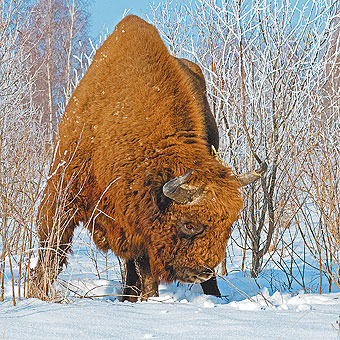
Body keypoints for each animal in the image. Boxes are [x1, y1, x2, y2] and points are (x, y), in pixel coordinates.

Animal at [29, 14, 266, 302]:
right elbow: (53, 247)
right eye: (188, 225)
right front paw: (37, 293)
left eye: (228, 226)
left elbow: (142, 266)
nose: (202, 272)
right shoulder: (64, 192)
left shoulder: (136, 225)